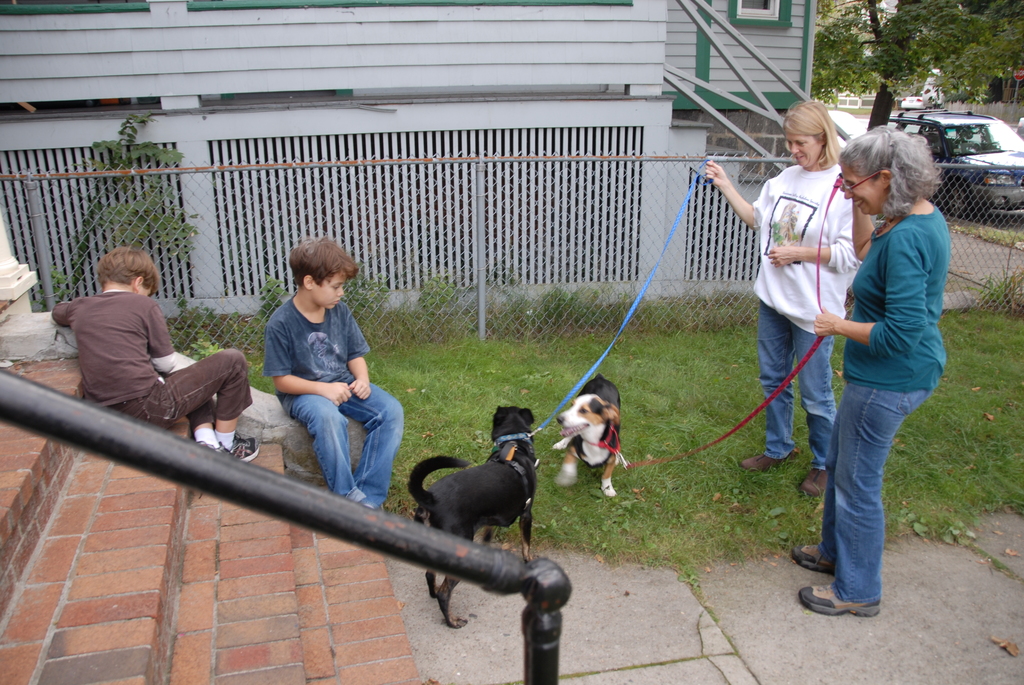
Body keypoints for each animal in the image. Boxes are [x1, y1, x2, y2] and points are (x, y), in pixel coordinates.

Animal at [405, 403, 540, 626]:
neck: (514, 445)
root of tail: (431, 498)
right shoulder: (526, 513)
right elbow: (526, 545)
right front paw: (530, 563)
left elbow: (489, 529)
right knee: (445, 592)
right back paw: (452, 620)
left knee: (430, 576)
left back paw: (433, 593)